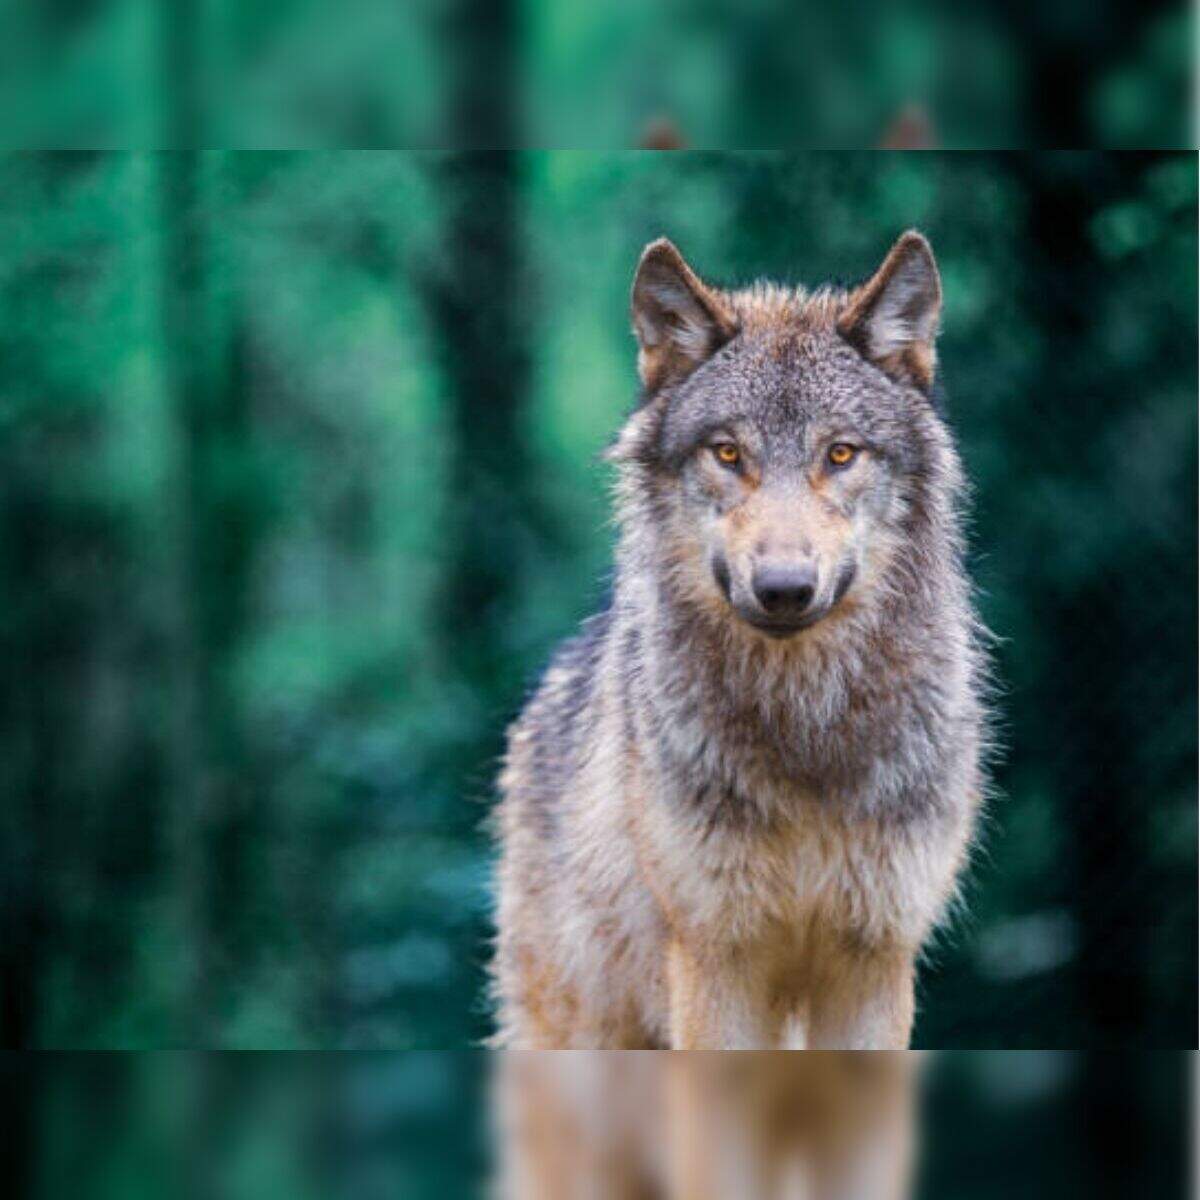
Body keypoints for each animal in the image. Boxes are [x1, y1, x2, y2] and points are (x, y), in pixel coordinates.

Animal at [491, 231, 987, 1049]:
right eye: (727, 454)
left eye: (840, 454)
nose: (784, 588)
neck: (805, 730)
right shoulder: (717, 956)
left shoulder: (874, 957)